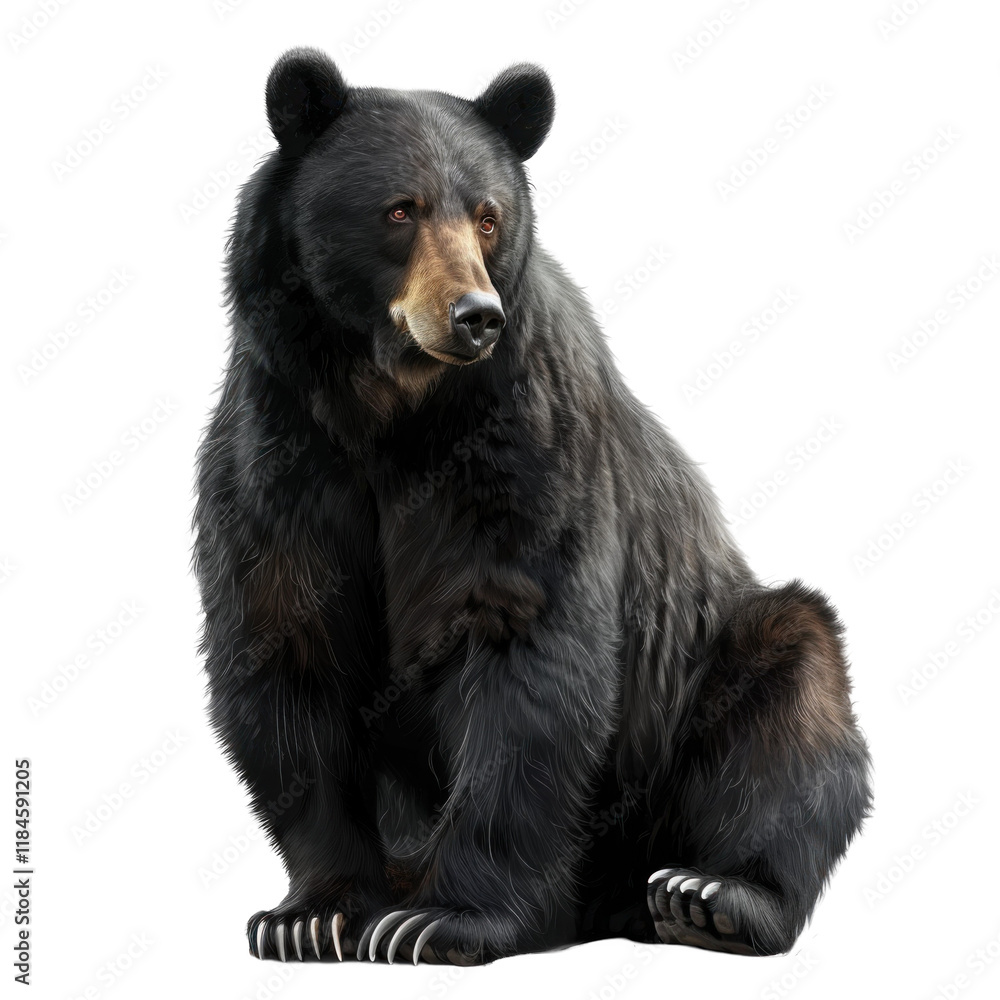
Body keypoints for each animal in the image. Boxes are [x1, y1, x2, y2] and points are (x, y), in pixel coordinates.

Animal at [193, 48, 872, 966]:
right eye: (400, 208)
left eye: (488, 217)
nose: (474, 317)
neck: (390, 415)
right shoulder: (281, 460)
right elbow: (285, 652)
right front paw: (312, 914)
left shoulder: (525, 452)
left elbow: (527, 653)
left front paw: (438, 919)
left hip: (707, 672)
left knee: (794, 709)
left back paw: (711, 895)